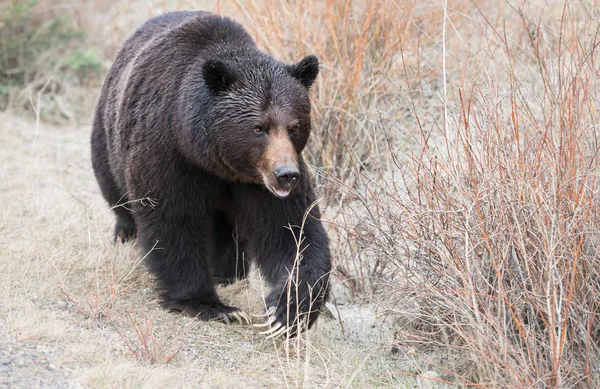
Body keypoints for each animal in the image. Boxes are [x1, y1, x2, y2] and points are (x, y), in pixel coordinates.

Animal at [91, 10, 330, 334]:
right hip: (108, 140)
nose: (286, 175)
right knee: (118, 198)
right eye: (259, 127)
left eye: (294, 126)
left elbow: (291, 229)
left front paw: (284, 312)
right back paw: (124, 235)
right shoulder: (169, 154)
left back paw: (227, 272)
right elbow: (172, 219)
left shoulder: (258, 182)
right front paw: (211, 305)